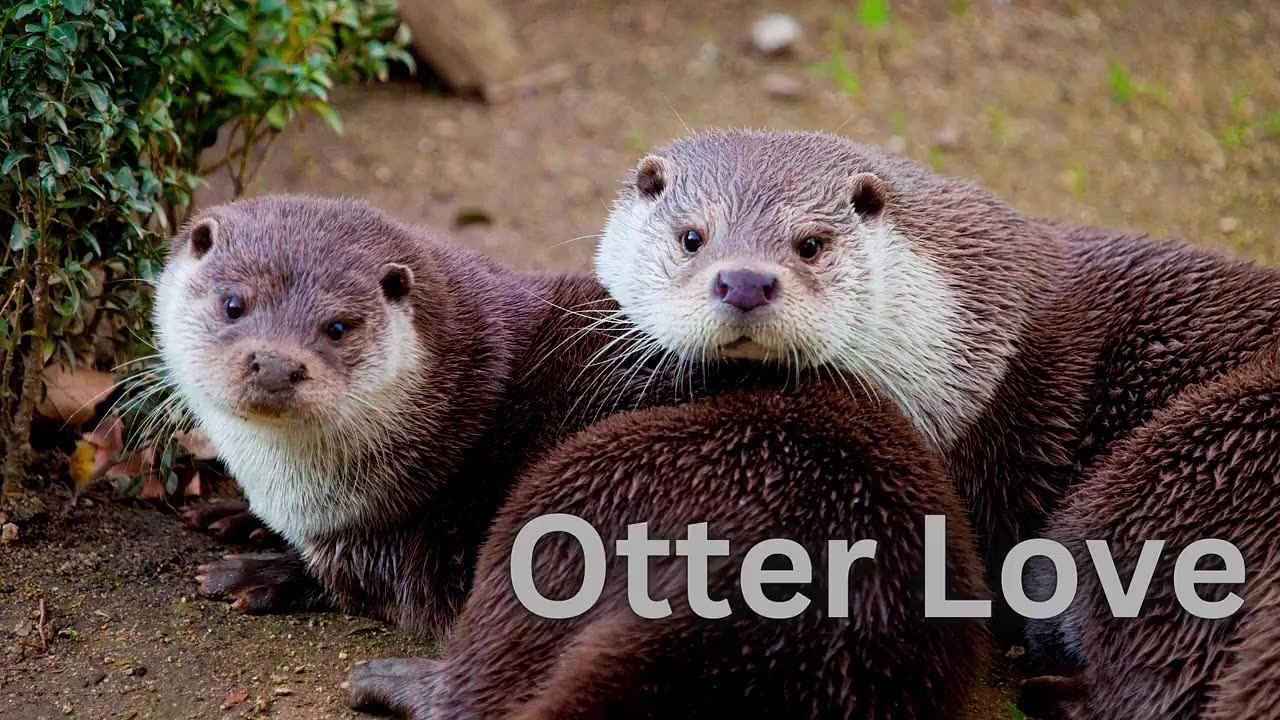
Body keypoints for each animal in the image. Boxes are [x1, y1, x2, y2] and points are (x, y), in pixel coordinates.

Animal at [155, 195, 726, 635]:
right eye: (234, 304)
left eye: (337, 328)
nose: (275, 363)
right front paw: (236, 515)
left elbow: (364, 582)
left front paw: (256, 575)